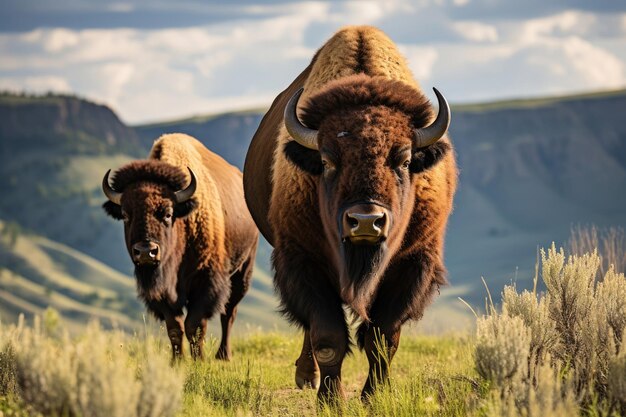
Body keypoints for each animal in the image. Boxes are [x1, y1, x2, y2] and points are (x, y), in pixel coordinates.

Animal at [103, 132, 258, 358]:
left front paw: (199, 360)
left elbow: (194, 325)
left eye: (168, 214)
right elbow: (175, 327)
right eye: (125, 215)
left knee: (229, 312)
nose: (146, 252)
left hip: (242, 271)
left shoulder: (205, 283)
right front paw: (176, 361)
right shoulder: (162, 292)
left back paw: (223, 355)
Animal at [243, 26, 454, 400]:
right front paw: (330, 400)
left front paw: (373, 397)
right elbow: (328, 337)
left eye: (404, 159)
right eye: (327, 161)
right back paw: (307, 377)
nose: (366, 221)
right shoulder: (303, 261)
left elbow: (382, 339)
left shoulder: (412, 264)